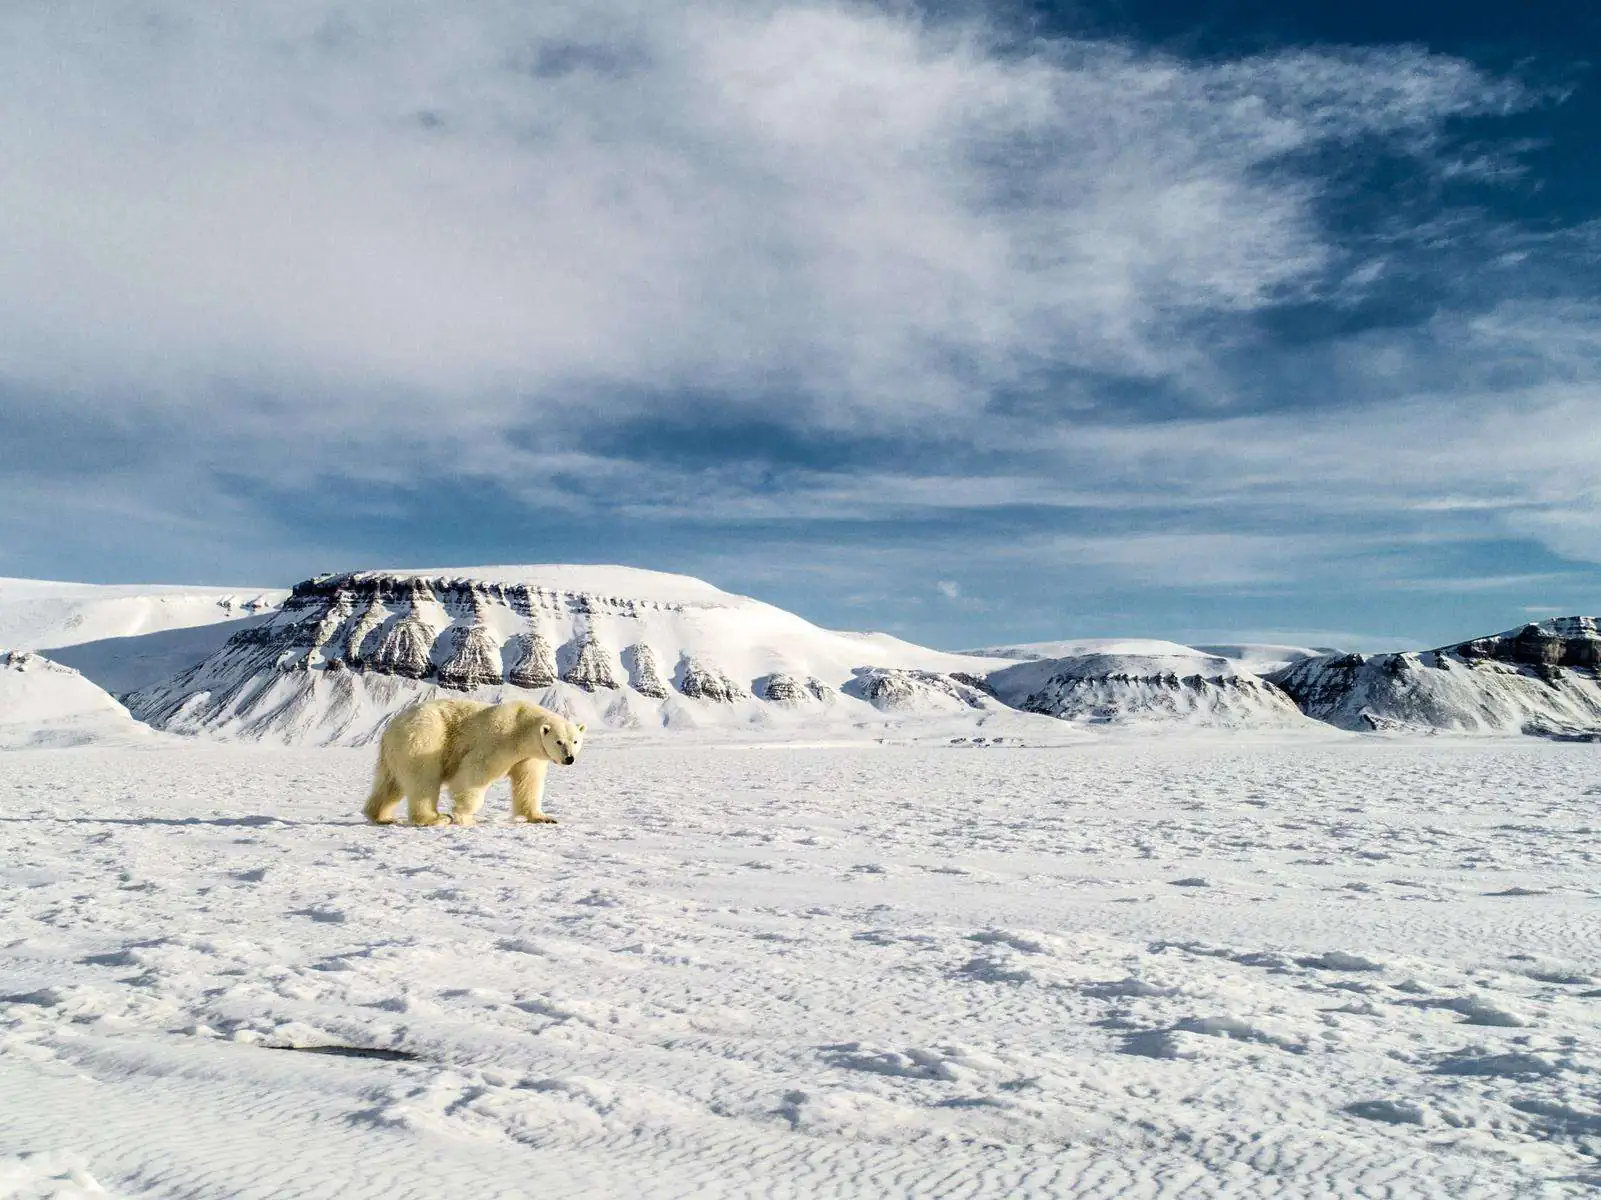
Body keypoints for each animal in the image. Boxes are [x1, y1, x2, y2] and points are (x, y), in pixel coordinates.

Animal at [361, 700, 582, 832]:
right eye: (559, 741)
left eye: (575, 741)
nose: (569, 758)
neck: (521, 727)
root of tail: (389, 728)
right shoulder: (499, 739)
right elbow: (475, 772)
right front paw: (464, 816)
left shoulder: (528, 758)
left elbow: (528, 783)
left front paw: (544, 817)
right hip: (425, 737)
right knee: (423, 778)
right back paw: (436, 818)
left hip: (393, 752)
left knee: (390, 783)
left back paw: (381, 816)